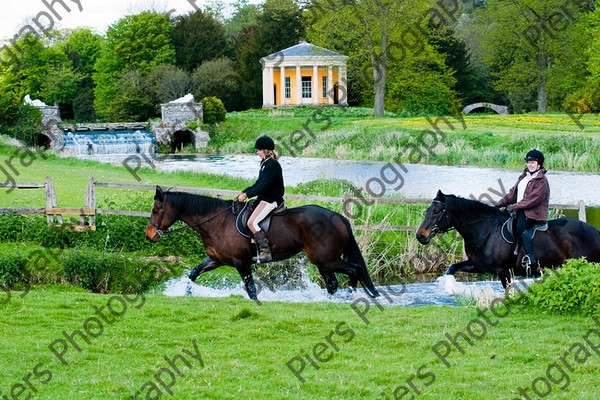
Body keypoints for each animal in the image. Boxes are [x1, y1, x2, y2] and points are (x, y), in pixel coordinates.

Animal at [145, 188, 378, 300]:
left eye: (156, 210)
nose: (149, 236)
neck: (216, 221)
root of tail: (339, 217)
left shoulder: (241, 263)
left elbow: (251, 289)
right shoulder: (216, 260)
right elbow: (193, 273)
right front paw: (187, 294)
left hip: (327, 259)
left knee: (354, 270)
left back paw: (353, 296)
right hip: (322, 261)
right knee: (334, 283)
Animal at [414, 191, 600, 290]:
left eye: (437, 211)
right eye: (428, 210)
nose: (420, 236)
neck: (485, 231)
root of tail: (595, 232)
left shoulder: (504, 271)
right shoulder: (479, 266)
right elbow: (452, 268)